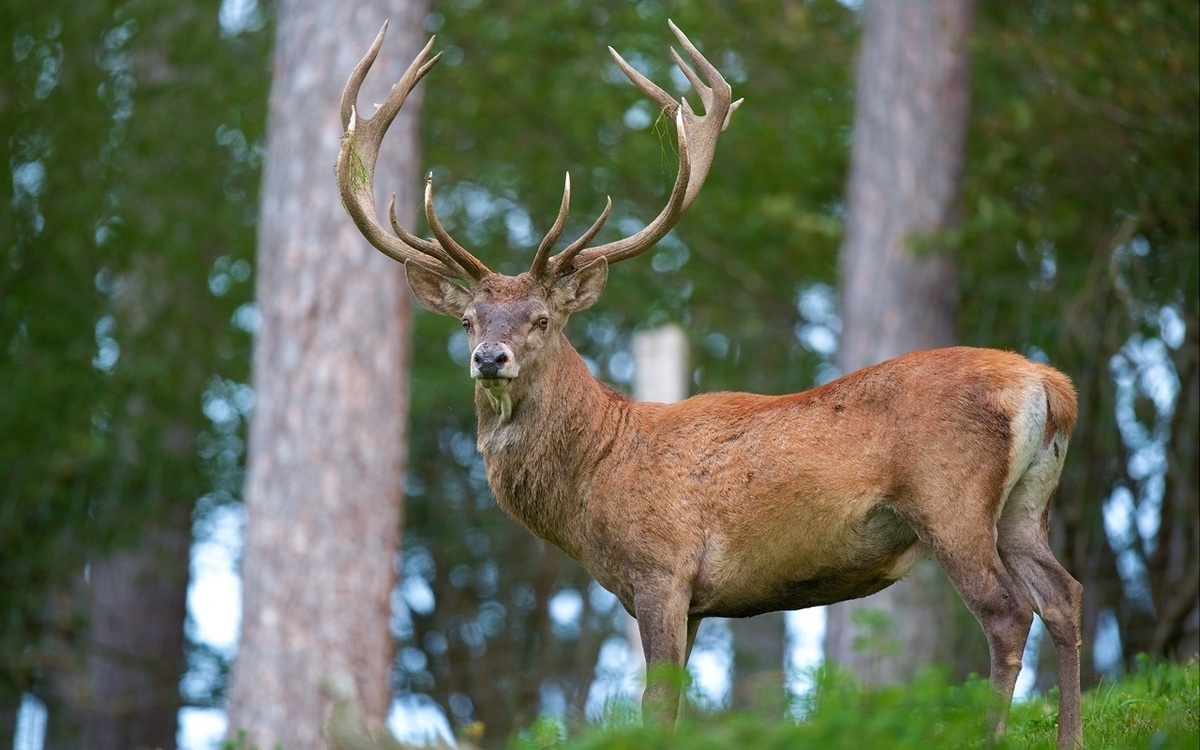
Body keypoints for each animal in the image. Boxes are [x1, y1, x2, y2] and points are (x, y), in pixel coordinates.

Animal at [336, 20, 1089, 744]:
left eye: (541, 319)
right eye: (468, 319)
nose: (489, 358)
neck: (596, 475)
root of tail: (1050, 385)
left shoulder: (661, 571)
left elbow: (656, 706)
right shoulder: (695, 600)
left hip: (949, 498)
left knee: (1006, 612)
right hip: (1026, 504)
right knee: (1064, 595)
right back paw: (1070, 737)